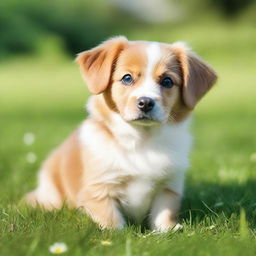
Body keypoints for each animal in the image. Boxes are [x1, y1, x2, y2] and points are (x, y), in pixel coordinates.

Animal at [25, 36, 218, 232]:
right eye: (127, 78)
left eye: (167, 81)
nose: (145, 102)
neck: (143, 140)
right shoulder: (99, 188)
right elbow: (111, 219)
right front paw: (116, 233)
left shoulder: (169, 186)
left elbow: (164, 213)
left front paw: (168, 230)